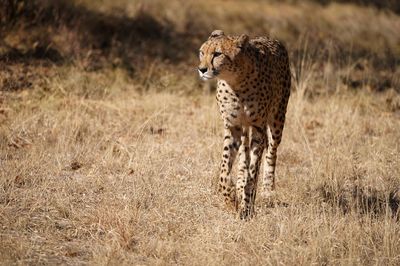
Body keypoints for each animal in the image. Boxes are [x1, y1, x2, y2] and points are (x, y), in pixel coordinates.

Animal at [198, 30, 290, 219]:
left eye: (217, 54)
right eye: (202, 52)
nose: (202, 69)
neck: (236, 82)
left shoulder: (258, 127)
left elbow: (253, 173)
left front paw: (247, 206)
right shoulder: (232, 126)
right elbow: (224, 170)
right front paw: (231, 199)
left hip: (277, 119)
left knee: (272, 151)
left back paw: (268, 190)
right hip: (243, 128)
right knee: (243, 155)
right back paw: (240, 184)